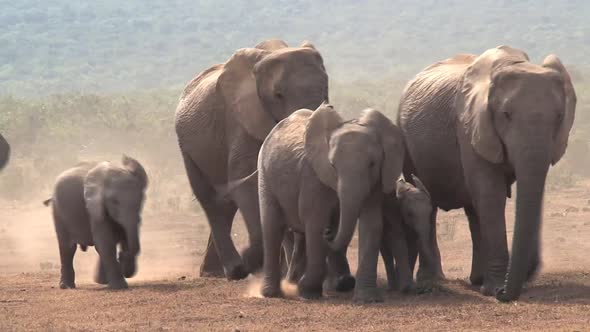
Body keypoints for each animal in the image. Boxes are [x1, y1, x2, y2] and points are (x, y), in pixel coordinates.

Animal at [43, 154, 149, 290]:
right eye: (114, 201)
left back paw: (102, 281)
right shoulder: (94, 207)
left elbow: (118, 237)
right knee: (67, 248)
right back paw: (66, 286)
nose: (122, 256)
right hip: (58, 210)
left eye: (141, 199)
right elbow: (105, 242)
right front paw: (120, 286)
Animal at [176, 39, 332, 280]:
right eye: (278, 95)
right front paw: (252, 263)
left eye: (326, 89)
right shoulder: (242, 120)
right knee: (211, 200)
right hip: (188, 149)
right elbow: (246, 184)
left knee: (227, 204)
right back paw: (234, 270)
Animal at [256, 104, 404, 304]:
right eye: (332, 165)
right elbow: (315, 222)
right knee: (272, 226)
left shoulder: (375, 182)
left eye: (372, 164)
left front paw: (368, 299)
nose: (328, 233)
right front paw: (309, 293)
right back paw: (272, 293)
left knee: (300, 235)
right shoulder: (313, 177)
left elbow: (371, 224)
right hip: (264, 172)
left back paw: (294, 284)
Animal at [398, 45, 580, 302]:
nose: (505, 293)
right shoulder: (469, 126)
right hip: (407, 144)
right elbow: (491, 194)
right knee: (431, 203)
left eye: (559, 117)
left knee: (473, 210)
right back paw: (435, 279)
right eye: (506, 114)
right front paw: (495, 289)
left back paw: (477, 280)